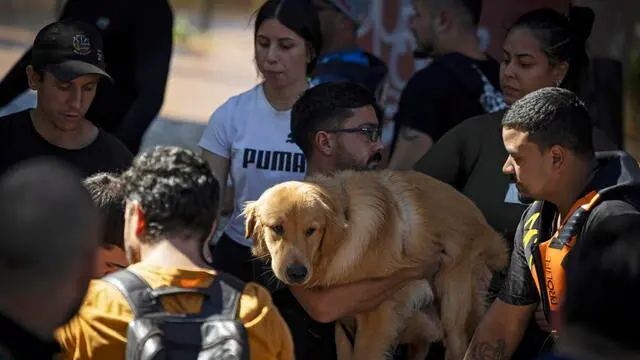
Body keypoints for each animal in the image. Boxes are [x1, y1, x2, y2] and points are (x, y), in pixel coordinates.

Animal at [242, 169, 508, 360]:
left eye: (311, 230)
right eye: (277, 228)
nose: (296, 274)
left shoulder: (380, 313)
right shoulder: (342, 319)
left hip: (452, 302)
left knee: (458, 345)